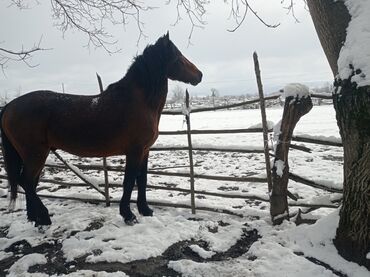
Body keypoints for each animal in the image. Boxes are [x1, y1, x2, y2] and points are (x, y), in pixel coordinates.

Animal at [0, 33, 202, 225]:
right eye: (178, 57)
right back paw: (44, 218)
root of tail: (9, 106)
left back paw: (35, 219)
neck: (137, 102)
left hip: (34, 155)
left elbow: (142, 180)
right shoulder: (134, 151)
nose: (199, 75)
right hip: (35, 154)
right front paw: (128, 215)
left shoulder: (145, 151)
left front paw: (145, 210)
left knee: (29, 183)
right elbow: (129, 181)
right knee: (26, 181)